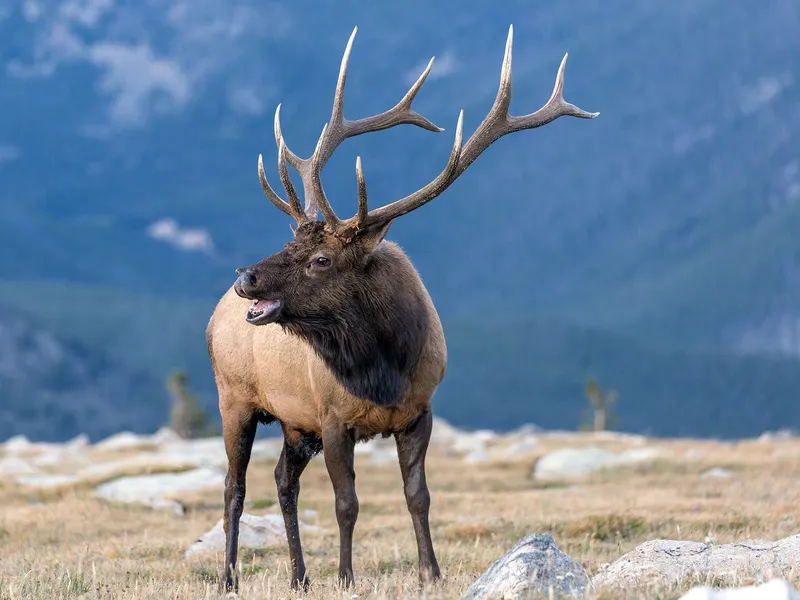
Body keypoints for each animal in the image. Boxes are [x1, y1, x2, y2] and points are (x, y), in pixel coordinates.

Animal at [209, 22, 596, 592]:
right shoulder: (332, 418)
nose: (245, 278)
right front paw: (347, 578)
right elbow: (347, 504)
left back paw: (300, 578)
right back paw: (230, 579)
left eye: (321, 258)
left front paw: (430, 573)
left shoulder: (419, 411)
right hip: (235, 398)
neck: (382, 369)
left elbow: (419, 496)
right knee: (234, 487)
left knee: (281, 480)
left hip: (293, 423)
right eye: (289, 242)